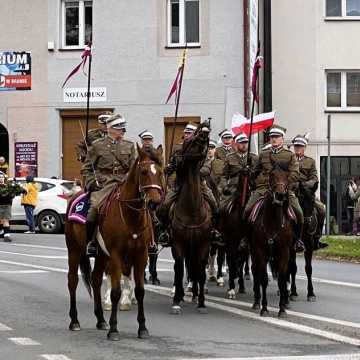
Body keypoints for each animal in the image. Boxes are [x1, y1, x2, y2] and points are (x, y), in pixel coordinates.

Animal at [65, 146, 164, 338]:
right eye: (144, 172)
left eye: (161, 172)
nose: (155, 202)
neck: (130, 215)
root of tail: (75, 195)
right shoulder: (117, 255)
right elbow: (116, 291)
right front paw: (113, 328)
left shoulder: (141, 255)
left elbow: (140, 291)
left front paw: (142, 327)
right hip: (74, 249)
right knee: (72, 280)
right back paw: (74, 321)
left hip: (102, 254)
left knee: (95, 279)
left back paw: (100, 320)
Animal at [249, 165, 294, 316]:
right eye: (271, 175)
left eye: (287, 176)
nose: (280, 195)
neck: (273, 221)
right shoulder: (260, 251)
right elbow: (263, 279)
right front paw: (264, 307)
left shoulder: (284, 251)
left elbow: (282, 278)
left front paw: (282, 308)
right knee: (255, 271)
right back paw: (256, 302)